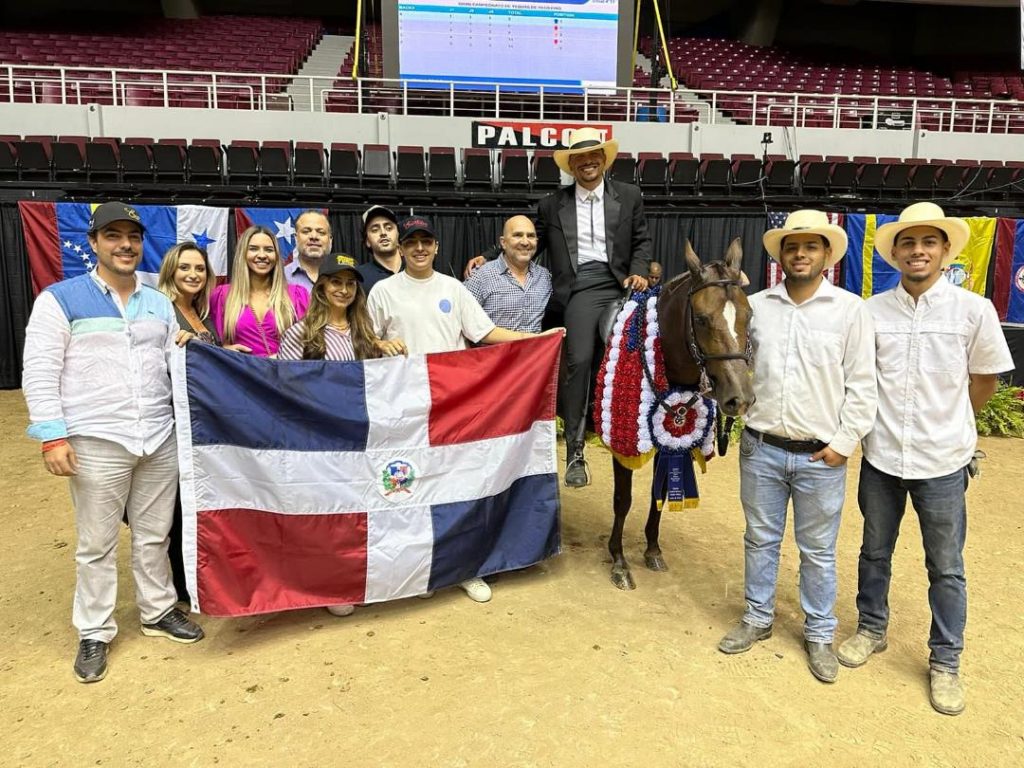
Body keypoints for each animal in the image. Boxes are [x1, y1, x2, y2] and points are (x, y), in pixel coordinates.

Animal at [606, 240, 753, 589]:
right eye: (701, 318)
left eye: (749, 314)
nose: (739, 399)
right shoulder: (621, 445)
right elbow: (623, 499)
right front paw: (619, 560)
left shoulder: (669, 441)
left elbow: (658, 492)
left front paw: (652, 549)